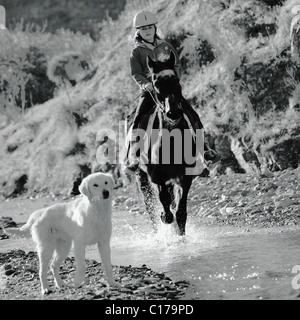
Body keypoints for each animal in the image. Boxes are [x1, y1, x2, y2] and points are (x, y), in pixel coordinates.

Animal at [125, 50, 205, 235]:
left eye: (176, 80)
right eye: (155, 83)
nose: (173, 113)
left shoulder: (184, 176)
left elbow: (180, 211)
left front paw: (181, 235)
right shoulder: (157, 177)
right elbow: (165, 205)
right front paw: (165, 218)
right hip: (142, 178)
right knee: (151, 207)